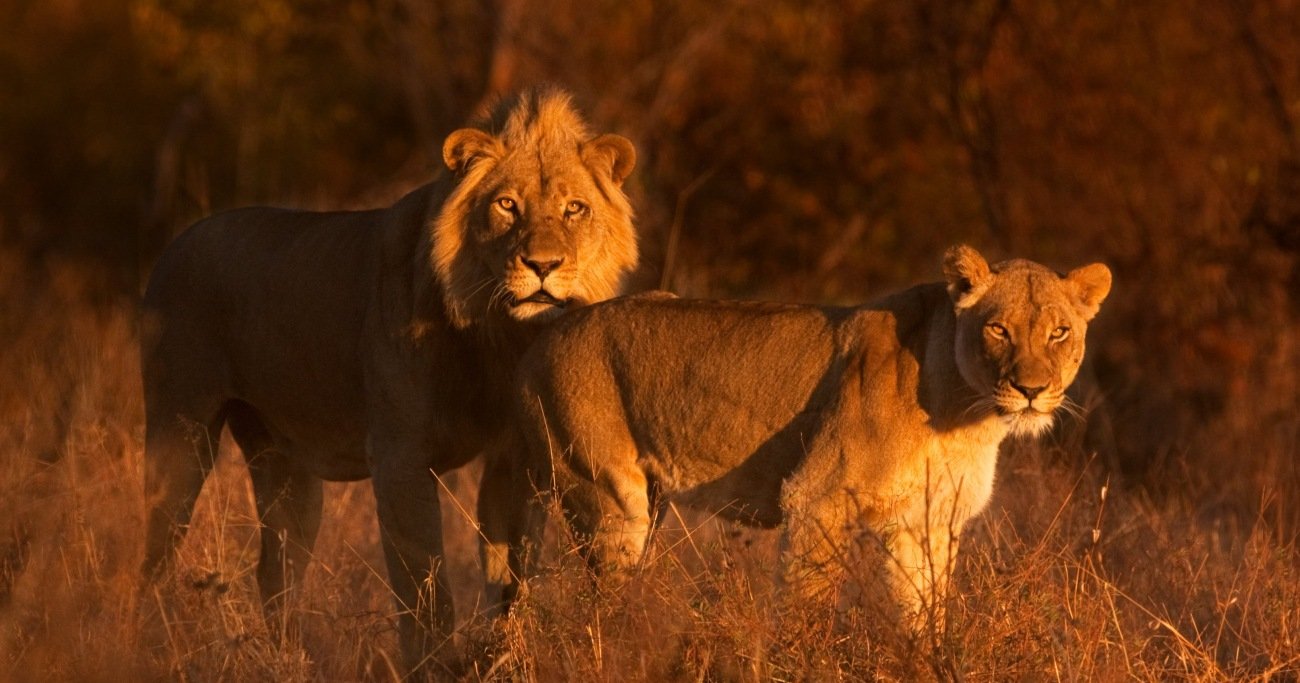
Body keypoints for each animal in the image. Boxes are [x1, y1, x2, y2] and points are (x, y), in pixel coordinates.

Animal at [142, 85, 639, 666]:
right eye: (506, 205)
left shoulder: (516, 459)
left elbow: (514, 574)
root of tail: (175, 244)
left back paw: (292, 661)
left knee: (274, 573)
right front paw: (434, 664)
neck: (496, 334)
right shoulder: (400, 457)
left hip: (286, 466)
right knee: (155, 556)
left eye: (574, 208)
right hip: (181, 434)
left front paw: (504, 655)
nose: (543, 265)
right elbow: (426, 585)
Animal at [504, 243, 1107, 616]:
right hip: (606, 498)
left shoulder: (927, 523)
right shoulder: (817, 499)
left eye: (1059, 332)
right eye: (998, 329)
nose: (1031, 390)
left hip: (646, 506)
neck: (967, 418)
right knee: (600, 607)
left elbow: (924, 618)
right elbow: (805, 611)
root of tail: (550, 329)